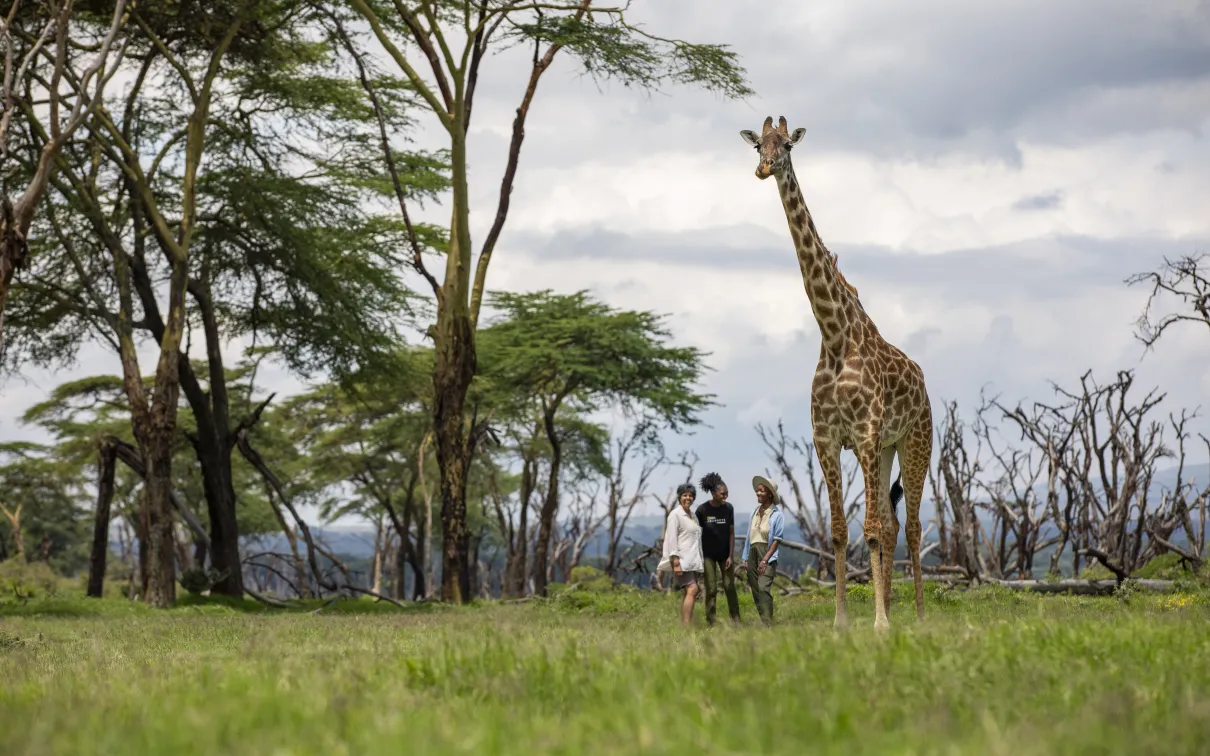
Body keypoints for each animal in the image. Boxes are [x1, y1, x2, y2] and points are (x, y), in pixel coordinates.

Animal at [739, 116, 933, 631]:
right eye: (758, 144)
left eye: (786, 145)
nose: (764, 168)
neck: (834, 334)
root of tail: (924, 383)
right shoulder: (826, 438)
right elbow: (843, 531)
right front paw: (843, 621)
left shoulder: (863, 433)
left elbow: (869, 529)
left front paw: (880, 624)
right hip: (886, 447)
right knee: (893, 523)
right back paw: (898, 609)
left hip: (915, 442)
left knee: (912, 525)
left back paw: (918, 614)